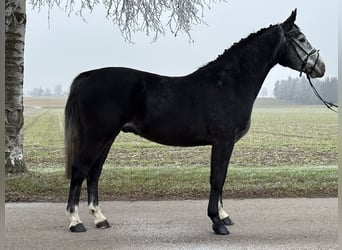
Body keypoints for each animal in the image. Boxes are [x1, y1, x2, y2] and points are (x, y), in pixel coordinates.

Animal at [65, 9, 324, 235]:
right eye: (301, 38)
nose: (320, 67)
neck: (228, 84)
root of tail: (89, 76)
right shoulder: (222, 141)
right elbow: (216, 179)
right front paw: (217, 223)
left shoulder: (226, 144)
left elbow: (222, 178)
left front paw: (224, 216)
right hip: (97, 136)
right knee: (80, 170)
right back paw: (75, 222)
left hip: (108, 137)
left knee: (94, 173)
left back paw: (100, 218)